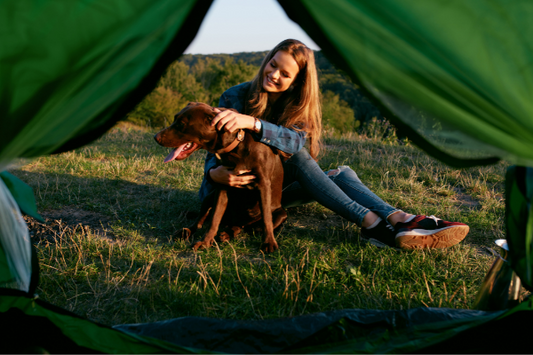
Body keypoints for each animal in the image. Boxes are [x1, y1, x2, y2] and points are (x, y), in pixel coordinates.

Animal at [154, 102, 286, 253]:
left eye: (181, 124)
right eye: (175, 119)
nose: (156, 137)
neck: (235, 147)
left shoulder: (263, 186)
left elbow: (266, 219)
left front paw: (269, 242)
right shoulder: (223, 184)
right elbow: (214, 218)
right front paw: (205, 242)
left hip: (281, 214)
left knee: (245, 226)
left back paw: (228, 233)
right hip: (209, 197)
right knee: (199, 222)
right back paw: (187, 232)